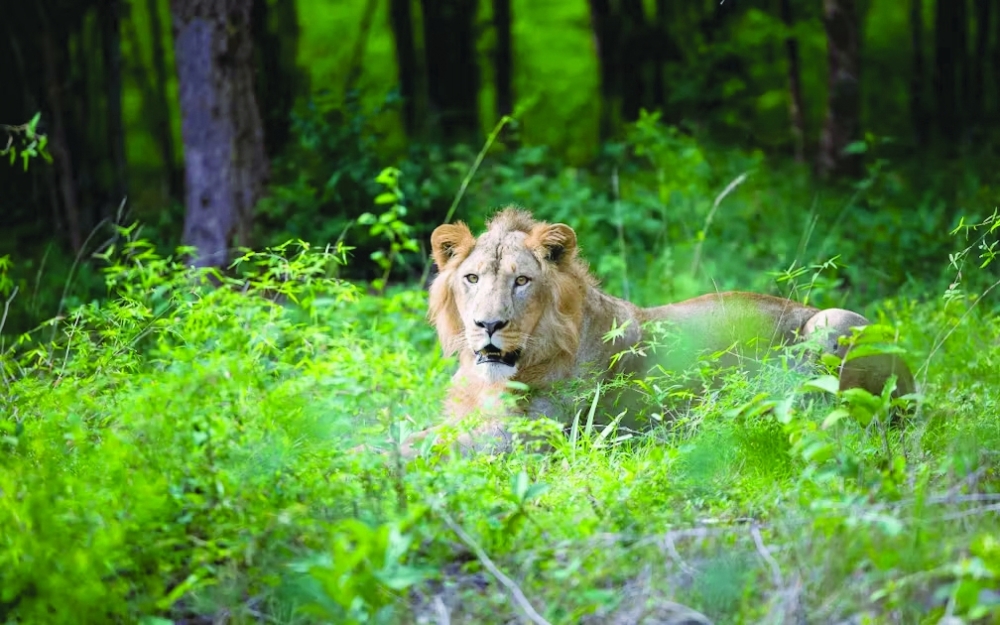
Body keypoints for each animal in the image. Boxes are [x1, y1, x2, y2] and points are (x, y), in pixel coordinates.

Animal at [402, 207, 915, 457]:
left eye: (522, 281)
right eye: (472, 279)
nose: (488, 325)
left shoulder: (532, 438)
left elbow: (421, 446)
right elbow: (417, 433)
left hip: (835, 321)